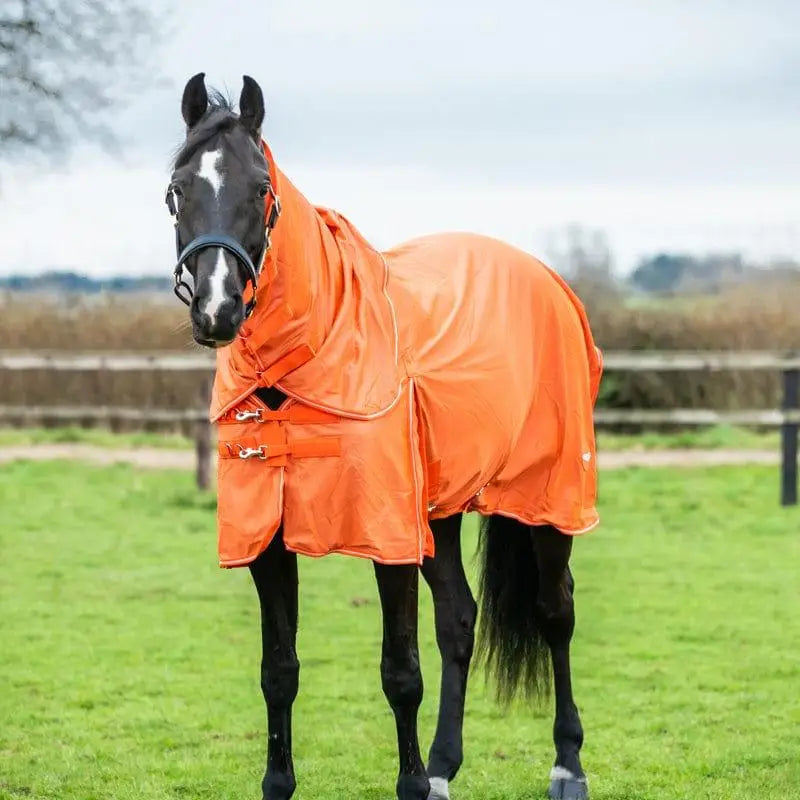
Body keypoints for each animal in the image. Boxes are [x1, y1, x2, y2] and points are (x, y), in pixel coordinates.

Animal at [165, 72, 602, 800]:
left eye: (261, 188)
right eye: (178, 189)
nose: (218, 310)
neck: (323, 344)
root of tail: (544, 278)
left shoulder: (387, 533)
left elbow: (401, 673)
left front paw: (412, 784)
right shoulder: (266, 538)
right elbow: (278, 671)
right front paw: (281, 783)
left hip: (548, 497)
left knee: (554, 612)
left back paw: (567, 766)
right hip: (441, 510)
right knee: (459, 621)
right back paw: (446, 766)